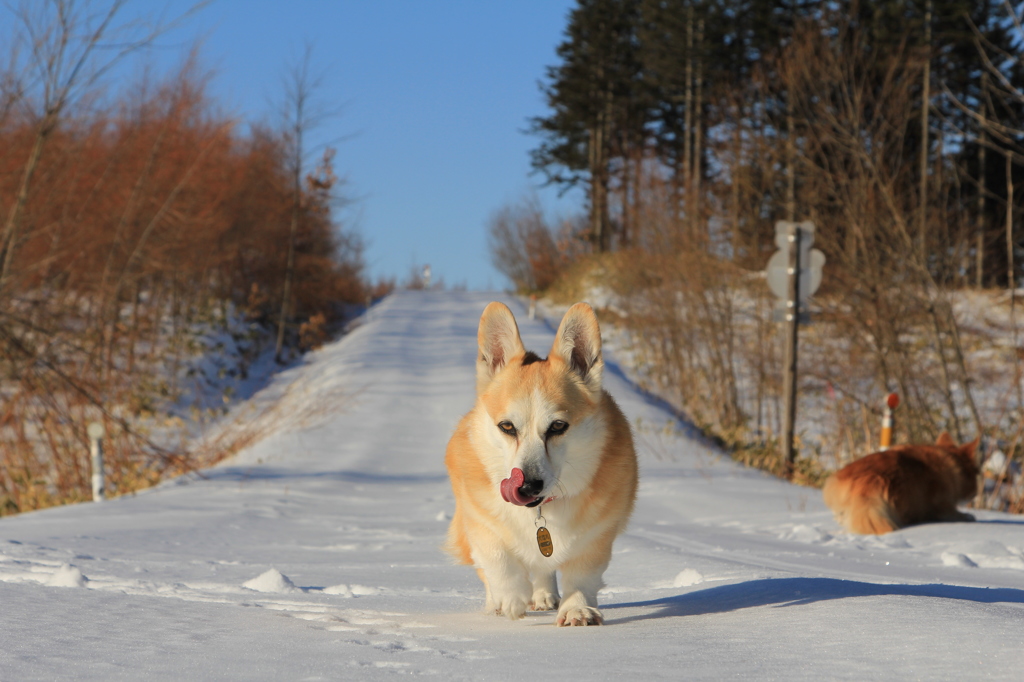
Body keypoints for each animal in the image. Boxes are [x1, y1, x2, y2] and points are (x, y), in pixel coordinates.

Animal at [444, 301, 634, 622]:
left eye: (558, 426)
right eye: (507, 427)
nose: (526, 487)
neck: (540, 513)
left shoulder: (597, 533)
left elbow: (581, 573)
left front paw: (577, 609)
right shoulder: (478, 518)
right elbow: (497, 558)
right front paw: (511, 598)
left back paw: (545, 596)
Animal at [819, 432, 978, 532]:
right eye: (976, 472)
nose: (975, 493)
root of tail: (867, 477)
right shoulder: (943, 506)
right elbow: (955, 514)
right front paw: (968, 516)